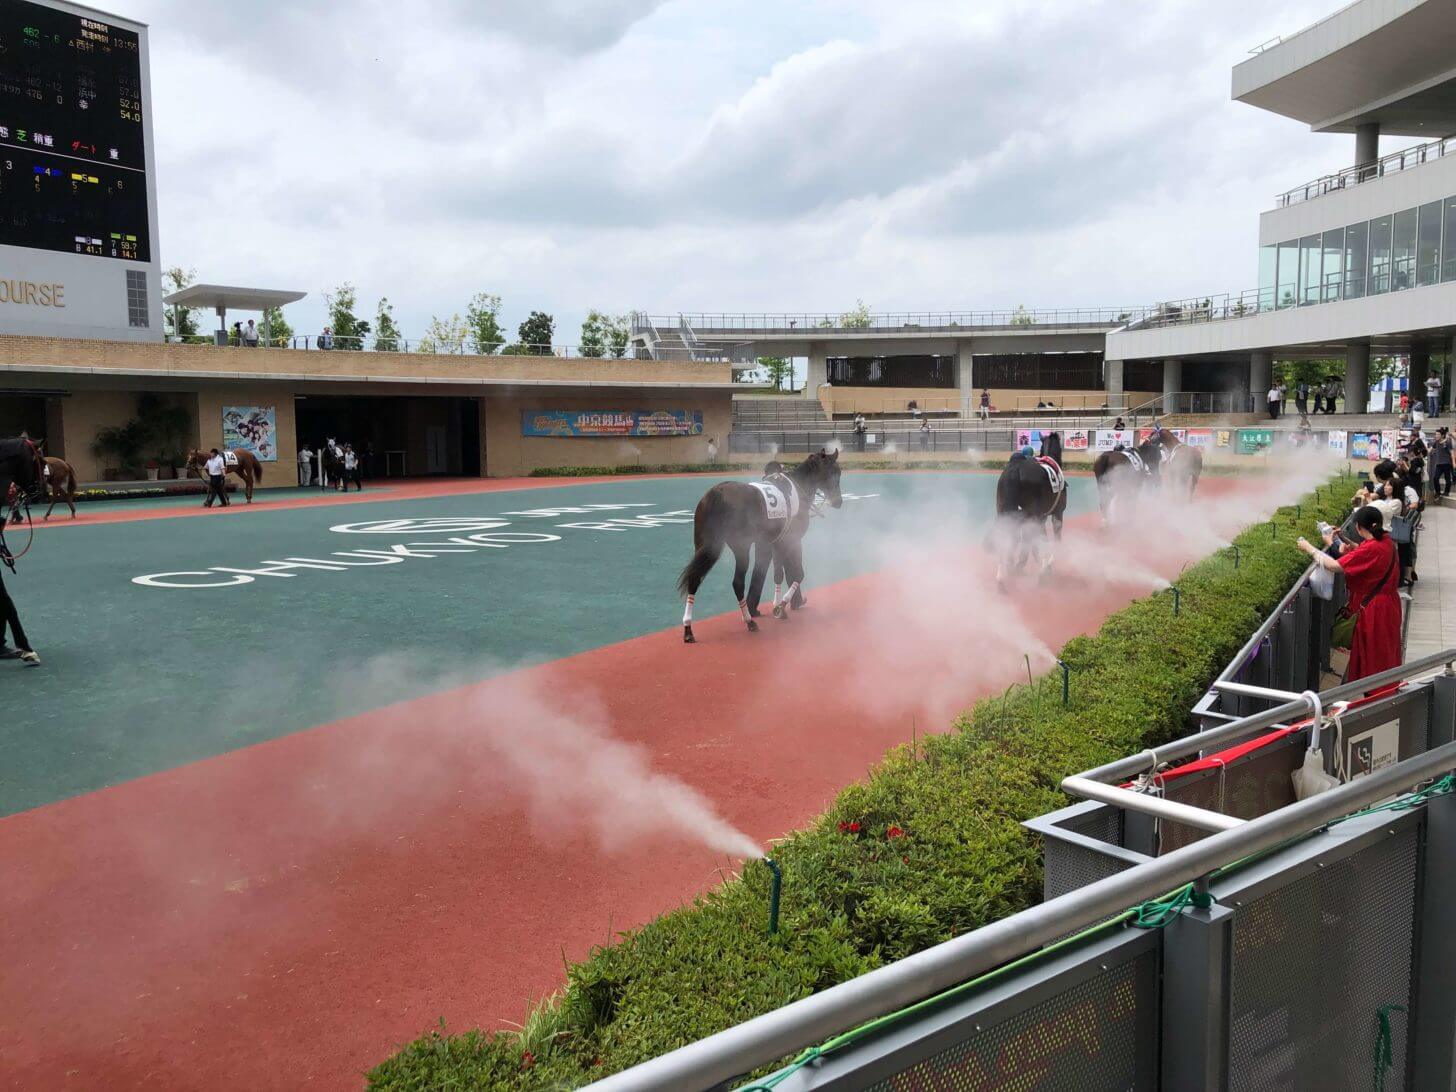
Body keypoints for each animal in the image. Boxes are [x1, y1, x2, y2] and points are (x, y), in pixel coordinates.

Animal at [678, 451, 850, 646]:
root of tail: (717, 493)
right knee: (737, 583)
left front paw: (778, 604)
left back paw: (688, 628)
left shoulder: (775, 542)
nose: (838, 501)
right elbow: (797, 574)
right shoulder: (792, 541)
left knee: (694, 578)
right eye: (835, 473)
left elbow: (778, 574)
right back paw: (749, 621)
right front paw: (783, 605)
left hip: (705, 545)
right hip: (741, 547)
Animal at [990, 433, 1071, 591]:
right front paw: (1047, 564)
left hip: (1005, 509)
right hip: (1031, 514)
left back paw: (1003, 575)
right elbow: (1055, 538)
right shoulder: (1057, 513)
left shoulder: (1039, 517)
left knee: (1006, 536)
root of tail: (1015, 470)